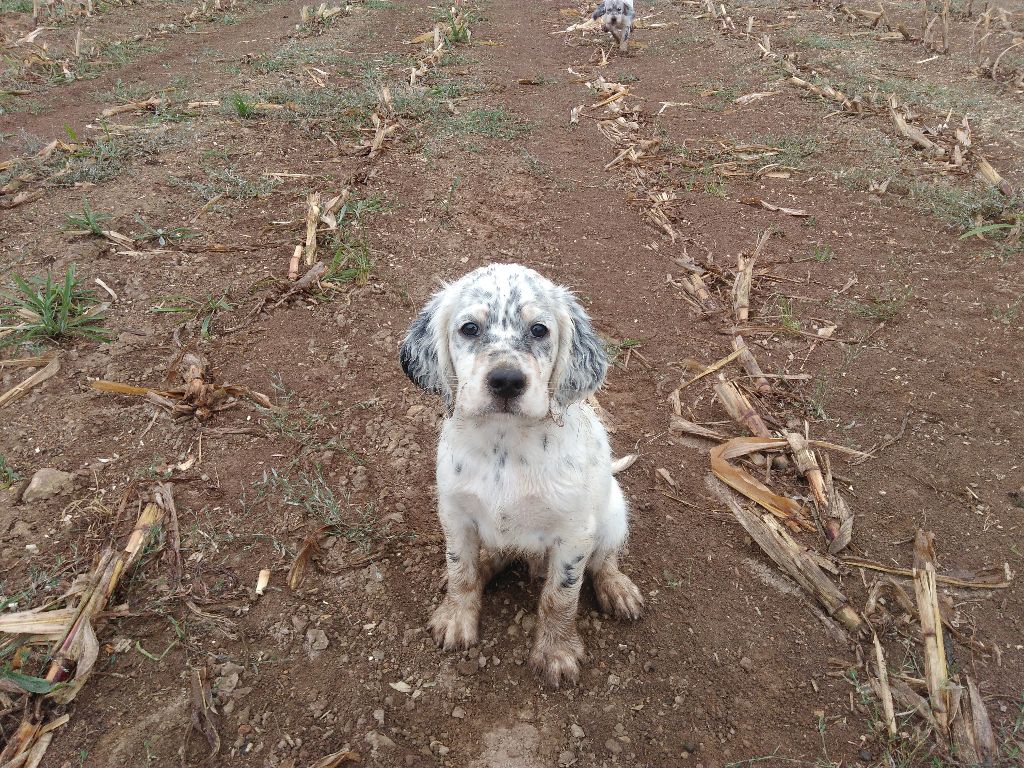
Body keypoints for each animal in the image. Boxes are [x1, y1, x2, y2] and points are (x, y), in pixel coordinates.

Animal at [397, 266, 638, 692]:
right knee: (491, 557)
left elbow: (560, 597)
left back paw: (616, 588)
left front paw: (556, 652)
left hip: (613, 513)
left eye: (539, 330)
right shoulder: (455, 514)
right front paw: (456, 618)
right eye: (470, 328)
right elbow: (460, 571)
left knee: (605, 559)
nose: (507, 380)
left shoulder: (574, 534)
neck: (505, 443)